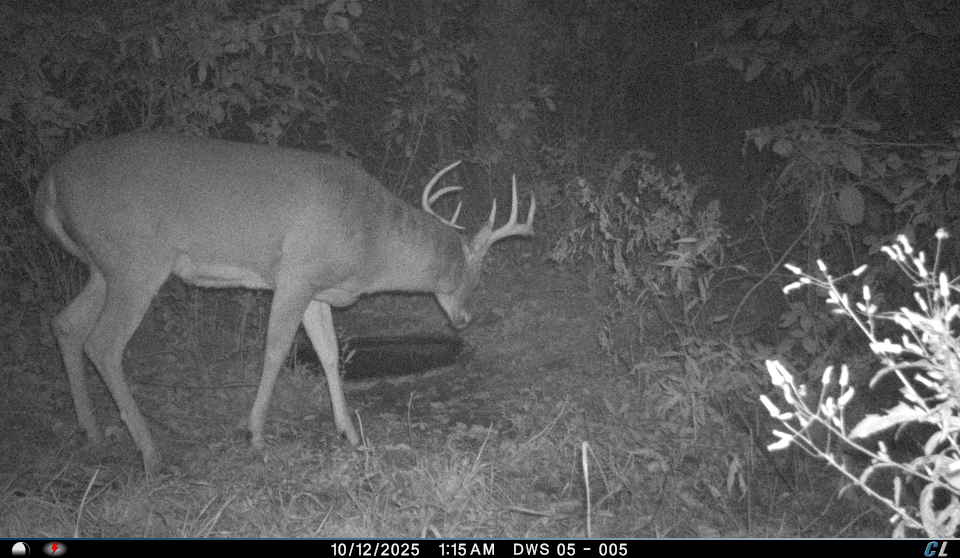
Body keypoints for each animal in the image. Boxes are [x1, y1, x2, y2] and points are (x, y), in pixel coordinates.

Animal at [35, 132, 535, 475]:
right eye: (473, 272)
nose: (465, 318)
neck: (369, 240)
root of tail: (50, 182)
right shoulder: (295, 274)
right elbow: (275, 351)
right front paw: (255, 435)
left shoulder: (316, 288)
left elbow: (330, 354)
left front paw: (350, 433)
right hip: (136, 261)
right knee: (104, 344)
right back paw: (151, 452)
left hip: (103, 267)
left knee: (66, 325)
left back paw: (92, 432)